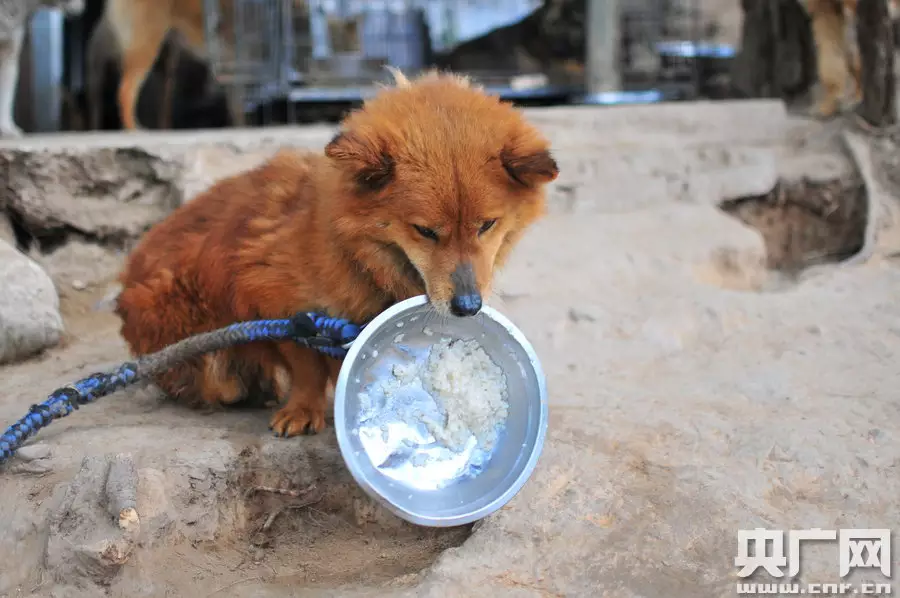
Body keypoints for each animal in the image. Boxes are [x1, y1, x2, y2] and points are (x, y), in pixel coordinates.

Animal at [116, 70, 560, 438]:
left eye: (487, 226)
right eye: (425, 231)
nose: (468, 307)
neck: (361, 259)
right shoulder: (275, 302)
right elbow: (304, 363)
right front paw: (303, 407)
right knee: (220, 384)